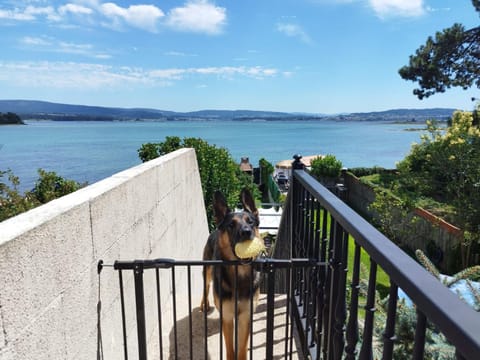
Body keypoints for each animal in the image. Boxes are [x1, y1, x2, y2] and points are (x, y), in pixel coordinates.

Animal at [201, 188, 264, 360]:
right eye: (231, 225)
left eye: (250, 222)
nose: (246, 232)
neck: (239, 273)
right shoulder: (228, 317)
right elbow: (230, 350)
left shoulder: (245, 317)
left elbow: (241, 349)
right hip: (207, 271)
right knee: (205, 286)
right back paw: (204, 304)